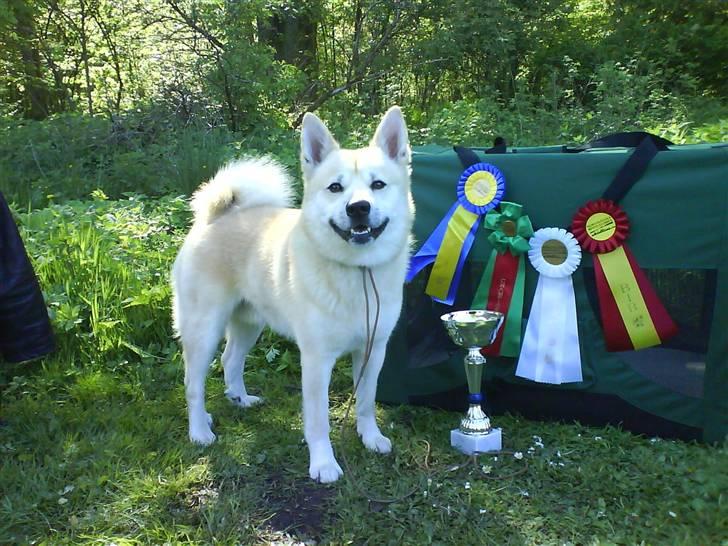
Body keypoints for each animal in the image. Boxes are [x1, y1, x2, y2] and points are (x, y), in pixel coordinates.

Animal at [168, 106, 412, 480]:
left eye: (378, 185)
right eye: (335, 187)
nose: (358, 207)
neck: (357, 271)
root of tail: (216, 217)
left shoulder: (373, 350)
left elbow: (366, 402)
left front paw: (371, 438)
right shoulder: (316, 360)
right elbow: (318, 420)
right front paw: (323, 463)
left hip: (249, 323)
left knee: (230, 360)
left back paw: (240, 399)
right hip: (203, 330)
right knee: (193, 385)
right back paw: (199, 430)